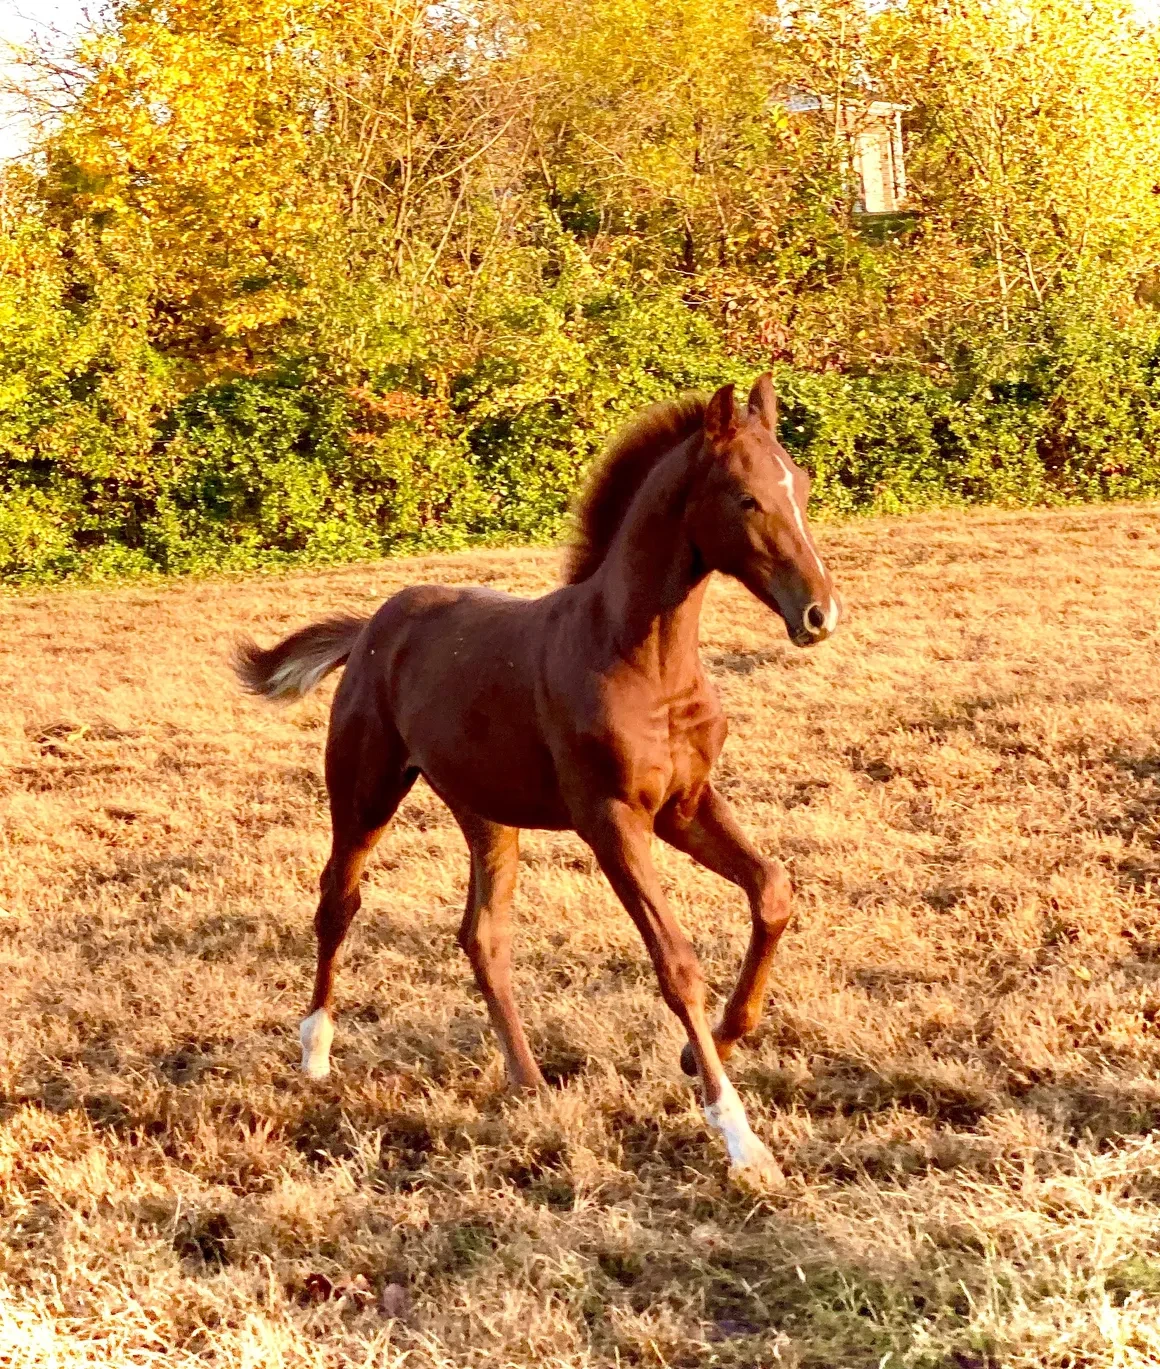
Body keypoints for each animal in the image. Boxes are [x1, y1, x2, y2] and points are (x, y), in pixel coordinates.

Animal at [233, 374, 839, 1183]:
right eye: (746, 498)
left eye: (799, 484)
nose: (820, 613)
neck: (643, 657)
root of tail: (371, 628)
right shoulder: (611, 819)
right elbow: (676, 960)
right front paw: (741, 1139)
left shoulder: (682, 806)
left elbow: (773, 890)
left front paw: (703, 1048)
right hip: (365, 791)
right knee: (339, 900)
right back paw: (316, 1052)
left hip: (487, 812)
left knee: (483, 936)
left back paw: (528, 1082)